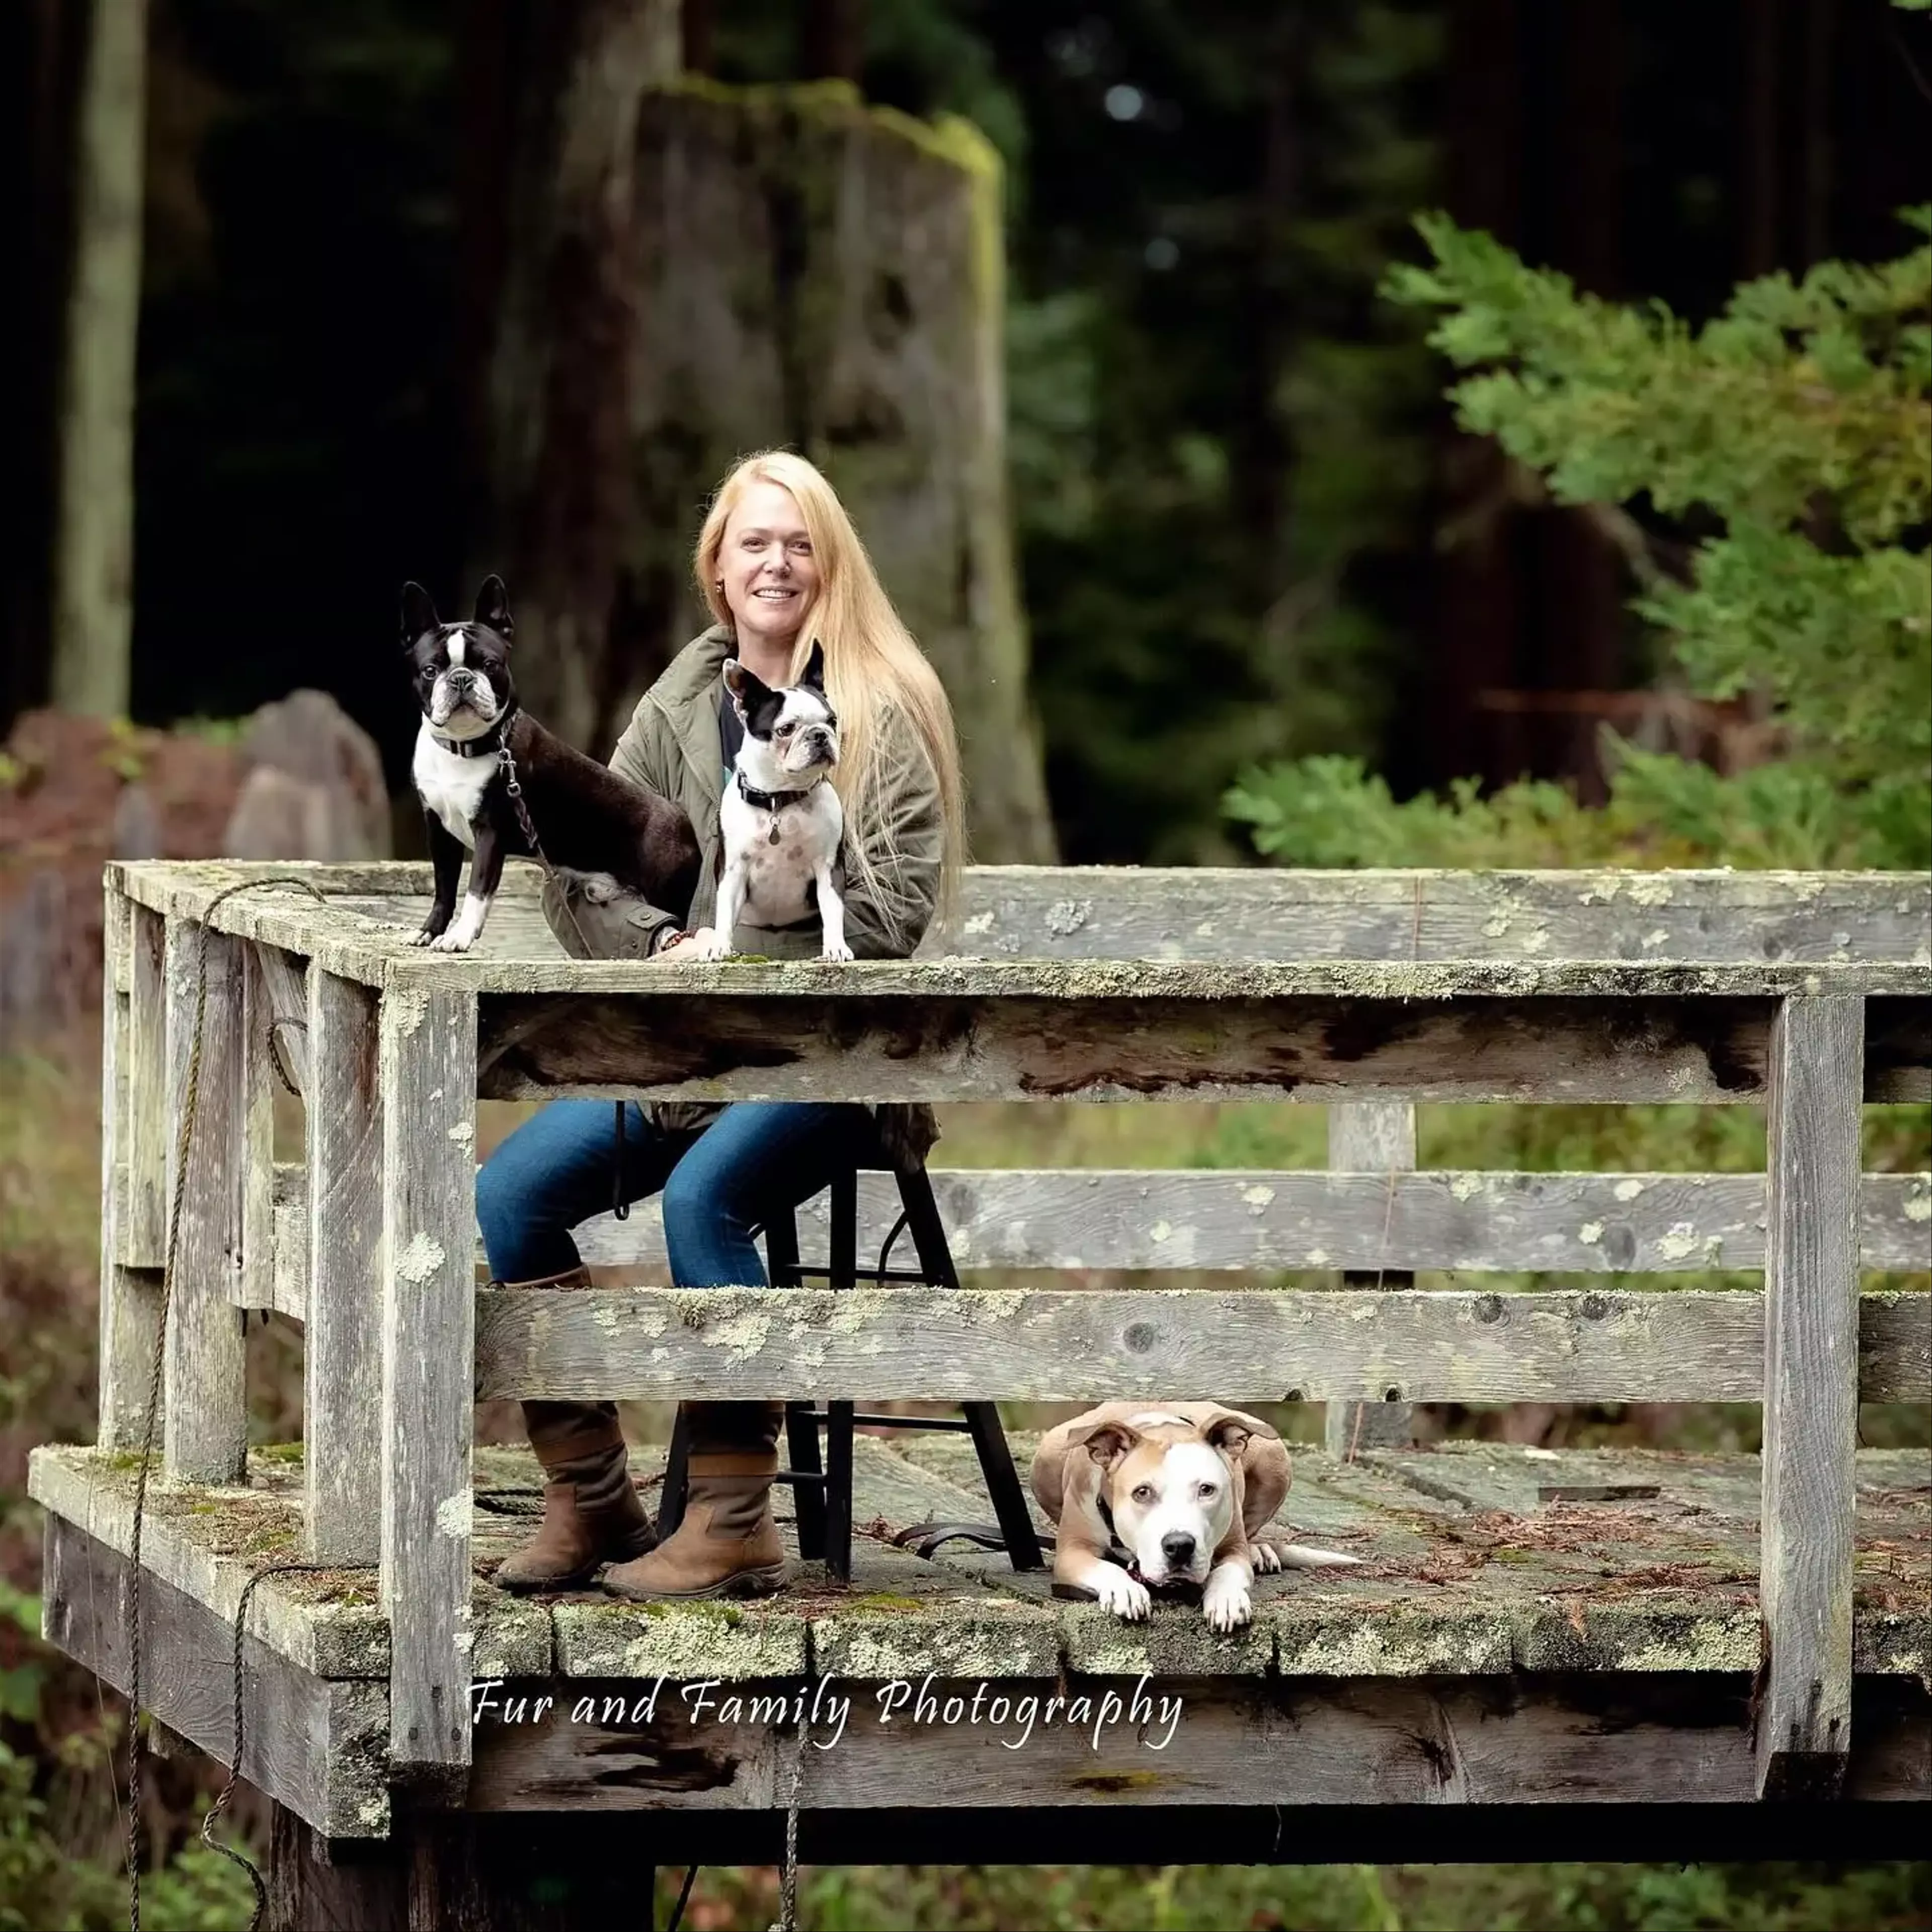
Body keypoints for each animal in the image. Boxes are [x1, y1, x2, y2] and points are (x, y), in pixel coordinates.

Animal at [1027, 1406, 1360, 1630]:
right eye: (1142, 1492)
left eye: (1206, 1489)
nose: (1179, 1546)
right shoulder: (1071, 1553)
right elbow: (1103, 1567)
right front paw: (1125, 1589)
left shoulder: (1232, 1549)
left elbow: (1228, 1571)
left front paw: (1226, 1599)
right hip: (1048, 1453)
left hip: (1274, 1453)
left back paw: (1259, 1551)